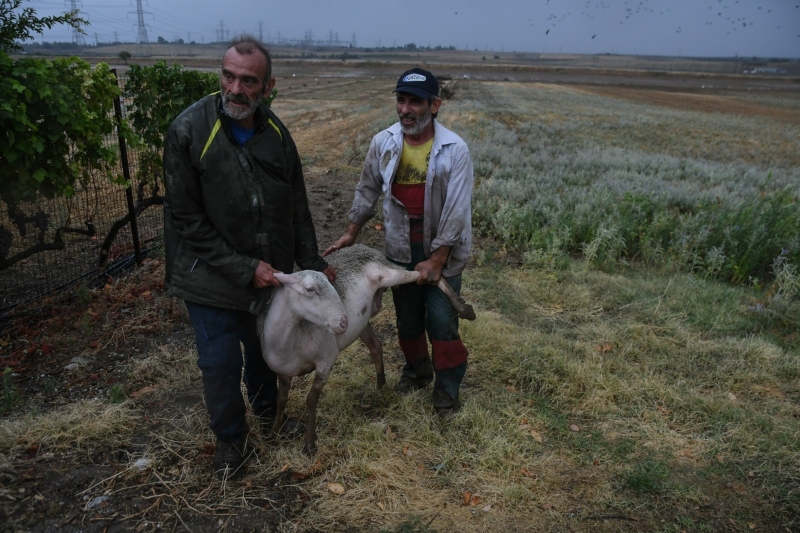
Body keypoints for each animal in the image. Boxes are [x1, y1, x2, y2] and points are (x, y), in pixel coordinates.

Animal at [256, 244, 472, 454]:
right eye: (310, 289)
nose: (343, 322)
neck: (291, 341)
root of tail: (362, 246)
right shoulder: (282, 371)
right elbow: (281, 399)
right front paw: (274, 432)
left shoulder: (325, 361)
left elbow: (311, 399)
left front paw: (310, 443)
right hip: (361, 322)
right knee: (376, 347)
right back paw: (380, 385)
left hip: (388, 273)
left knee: (427, 275)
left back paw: (463, 307)